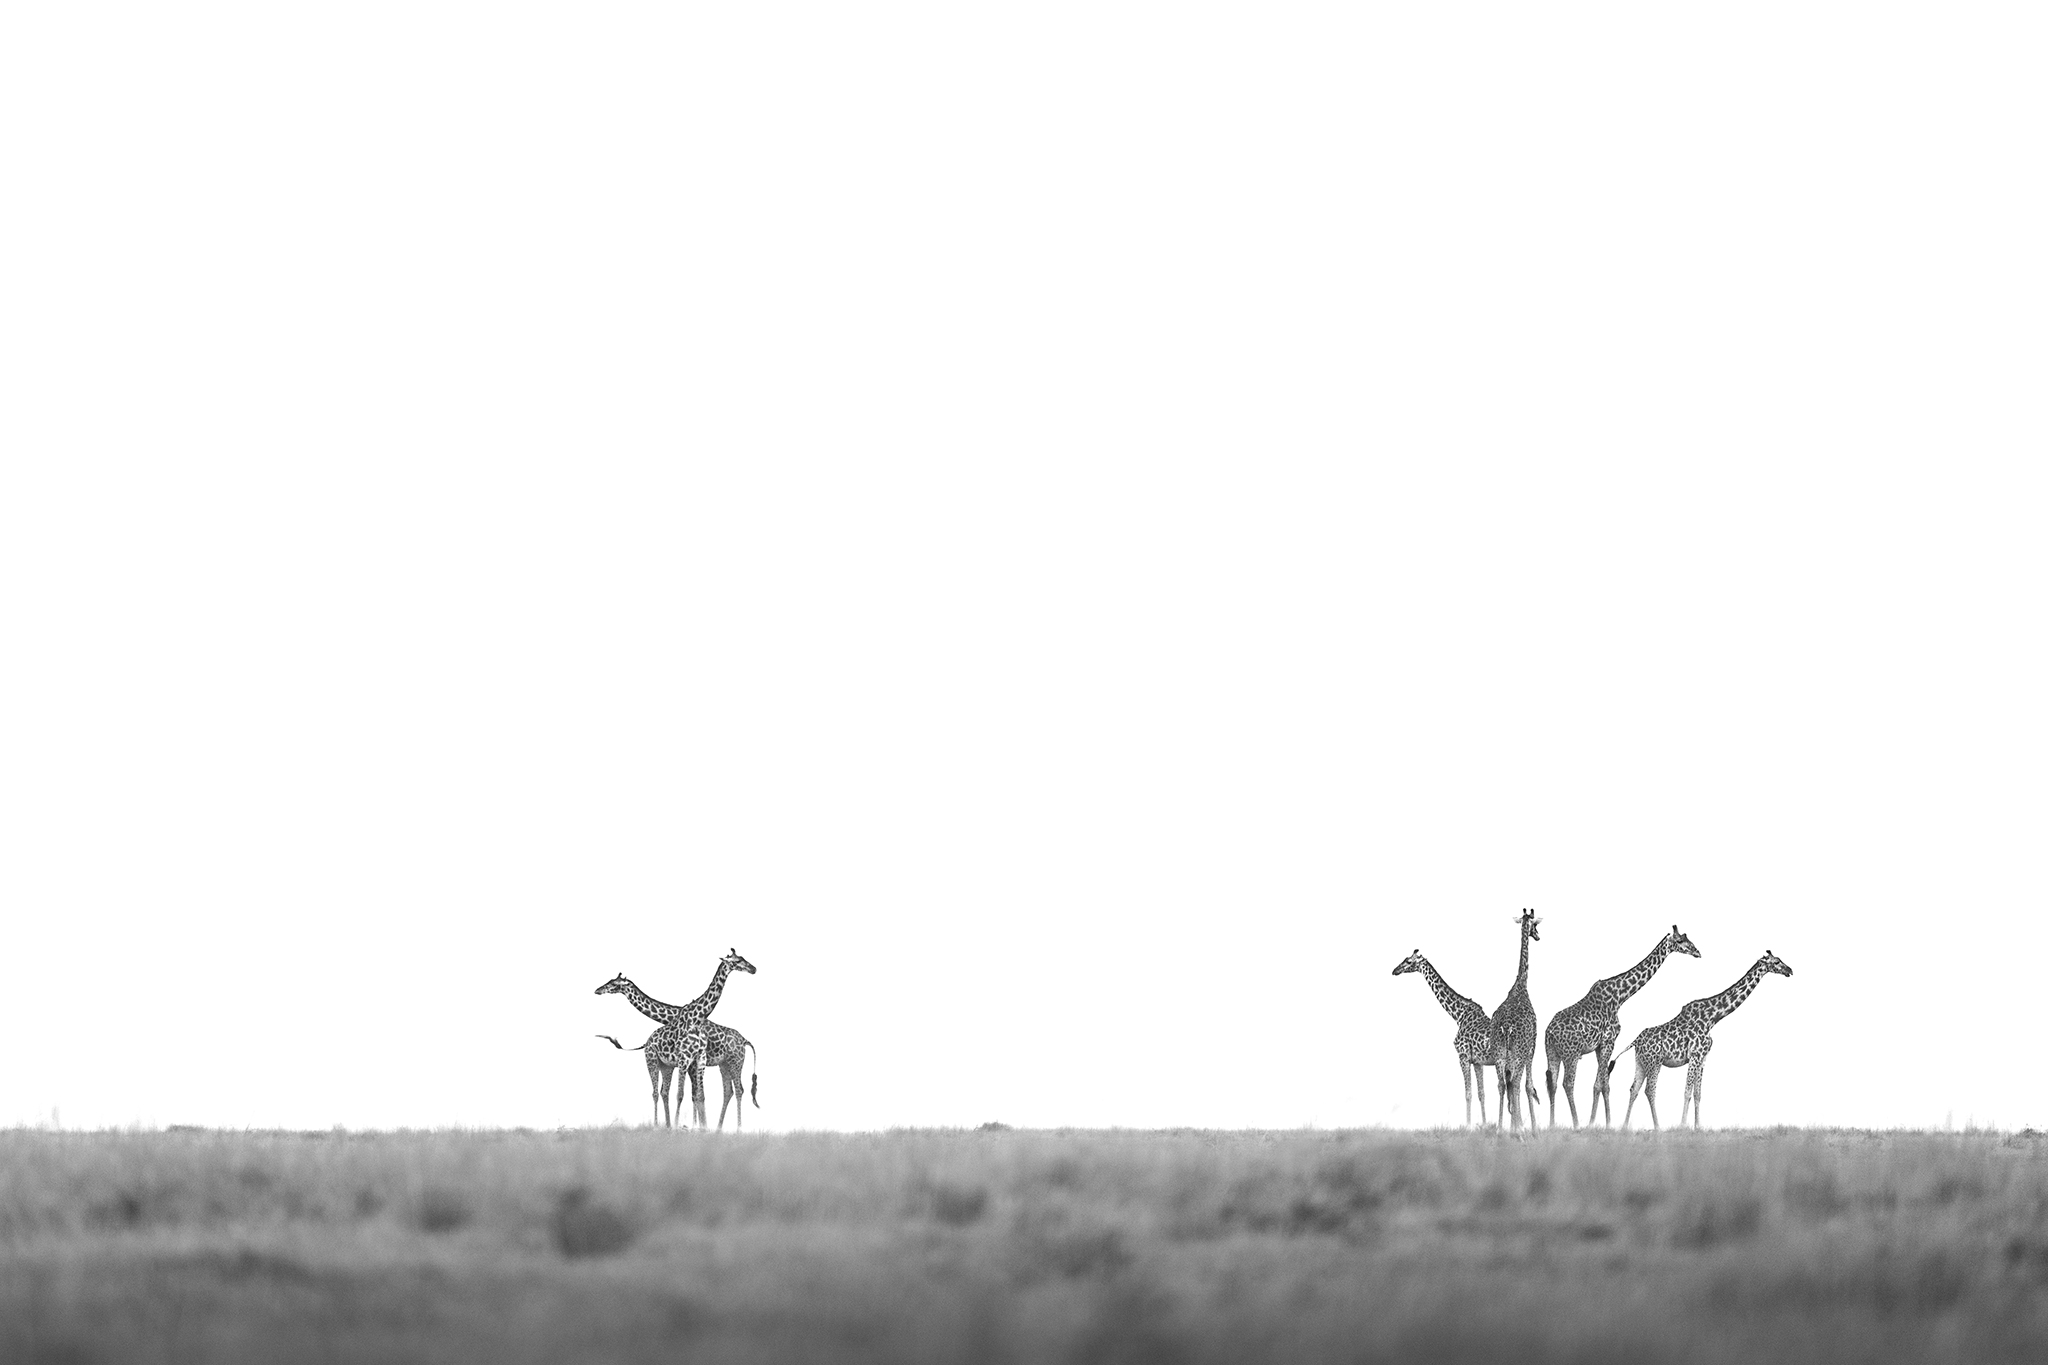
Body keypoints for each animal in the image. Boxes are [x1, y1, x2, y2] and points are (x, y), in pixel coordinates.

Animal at [1393, 949, 1509, 1128]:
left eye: (1408, 961)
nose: (1395, 970)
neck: (1458, 1015)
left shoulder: (1463, 1056)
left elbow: (1468, 1093)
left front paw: (1468, 1126)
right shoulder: (1477, 1061)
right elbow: (1481, 1093)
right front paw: (1483, 1125)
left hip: (1500, 1060)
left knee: (1503, 1085)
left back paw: (1503, 1126)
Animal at [1541, 924, 1700, 1129]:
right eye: (1680, 940)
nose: (1697, 952)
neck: (1620, 997)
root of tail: (1549, 1033)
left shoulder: (1600, 1046)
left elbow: (1602, 1084)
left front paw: (1603, 1122)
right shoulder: (1609, 1040)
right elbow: (1601, 1084)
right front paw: (1601, 1123)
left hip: (1552, 1052)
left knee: (1551, 1083)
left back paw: (1552, 1124)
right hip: (1572, 1053)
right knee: (1567, 1083)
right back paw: (1576, 1124)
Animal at [1614, 950, 1794, 1132]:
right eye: (1776, 962)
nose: (1790, 970)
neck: (1712, 1018)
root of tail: (1636, 1041)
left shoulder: (1703, 1058)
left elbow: (1698, 1094)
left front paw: (1698, 1127)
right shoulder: (1695, 1055)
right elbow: (1687, 1092)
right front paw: (1682, 1126)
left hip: (1640, 1061)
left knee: (1634, 1089)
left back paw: (1624, 1127)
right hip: (1655, 1062)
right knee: (1649, 1090)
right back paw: (1658, 1127)